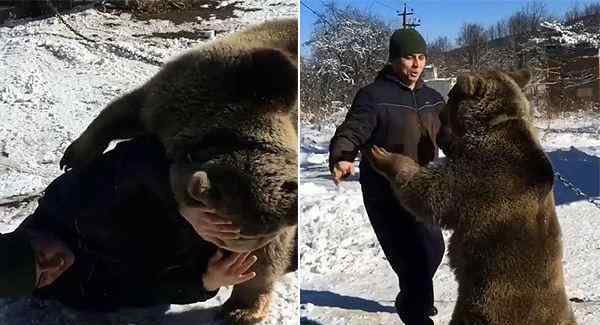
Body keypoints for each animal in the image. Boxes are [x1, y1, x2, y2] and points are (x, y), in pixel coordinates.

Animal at [58, 18, 298, 324]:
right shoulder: (177, 95)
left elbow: (270, 257)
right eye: (221, 237)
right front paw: (74, 156)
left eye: (250, 243)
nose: (230, 258)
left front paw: (242, 308)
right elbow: (121, 112)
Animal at [368, 70, 580, 324]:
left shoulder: (481, 173)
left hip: (486, 301)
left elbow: (432, 194)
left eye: (450, 97)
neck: (490, 125)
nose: (439, 116)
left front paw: (384, 156)